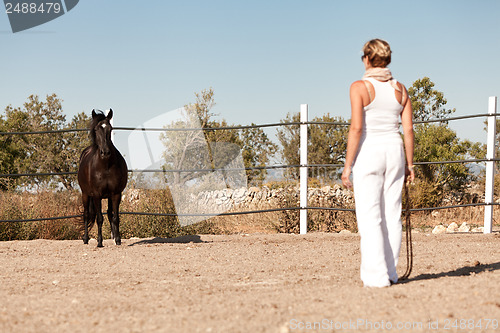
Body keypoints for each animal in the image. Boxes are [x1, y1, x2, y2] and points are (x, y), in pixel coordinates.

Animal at [78, 109, 128, 246]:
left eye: (110, 129)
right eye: (96, 129)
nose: (105, 152)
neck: (105, 165)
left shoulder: (116, 194)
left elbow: (115, 217)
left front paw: (118, 240)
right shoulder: (96, 195)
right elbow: (99, 218)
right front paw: (100, 242)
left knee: (110, 214)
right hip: (85, 194)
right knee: (86, 215)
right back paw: (85, 239)